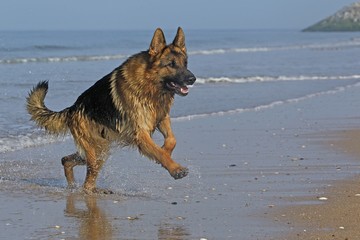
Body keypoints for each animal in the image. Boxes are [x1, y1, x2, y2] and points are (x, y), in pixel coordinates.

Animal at [27, 27, 197, 193]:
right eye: (171, 64)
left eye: (185, 63)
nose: (193, 79)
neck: (150, 83)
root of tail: (72, 108)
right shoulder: (141, 133)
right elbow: (160, 152)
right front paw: (175, 168)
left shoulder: (162, 117)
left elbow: (171, 140)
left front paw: (167, 152)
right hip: (96, 151)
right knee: (87, 182)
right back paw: (91, 190)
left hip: (98, 150)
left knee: (66, 160)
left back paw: (74, 187)